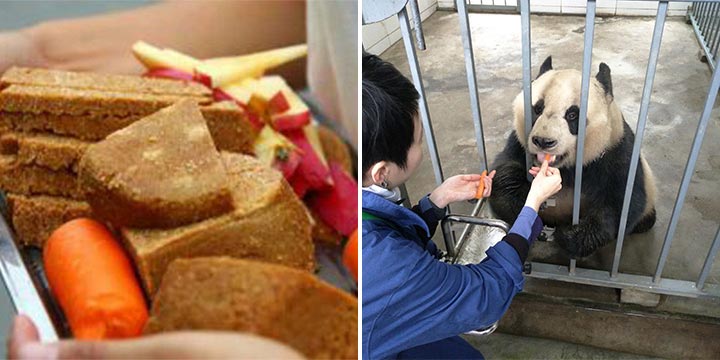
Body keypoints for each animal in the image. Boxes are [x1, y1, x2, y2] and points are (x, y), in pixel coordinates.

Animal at [490, 56, 660, 258]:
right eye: (537, 109)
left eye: (572, 114)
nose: (543, 141)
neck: (566, 167)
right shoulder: (519, 143)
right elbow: (503, 174)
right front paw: (527, 206)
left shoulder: (616, 151)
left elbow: (622, 203)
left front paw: (569, 235)